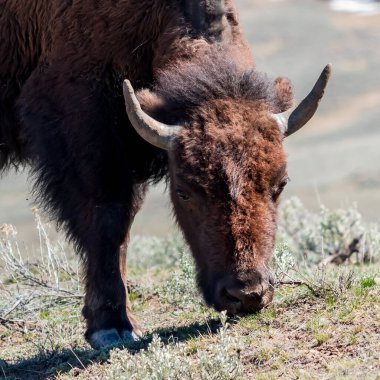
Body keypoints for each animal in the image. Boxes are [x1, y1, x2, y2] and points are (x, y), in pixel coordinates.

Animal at [0, 0, 332, 348]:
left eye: (280, 184)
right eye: (184, 191)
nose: (246, 293)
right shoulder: (83, 126)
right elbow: (106, 218)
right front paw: (112, 327)